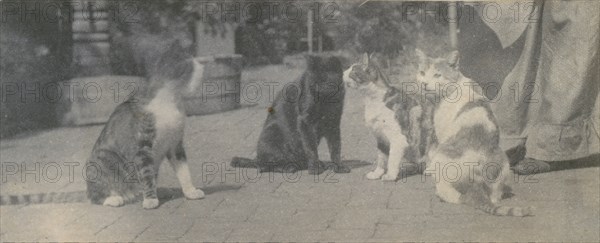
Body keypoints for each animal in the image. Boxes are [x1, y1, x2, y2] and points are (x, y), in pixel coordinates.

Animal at [1, 41, 205, 209]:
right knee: (95, 197)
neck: (171, 101)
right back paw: (116, 198)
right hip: (104, 160)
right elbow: (146, 174)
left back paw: (159, 191)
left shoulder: (175, 145)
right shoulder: (142, 147)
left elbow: (184, 171)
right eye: (191, 65)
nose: (203, 65)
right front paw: (150, 200)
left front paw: (190, 191)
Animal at [340, 52, 428, 180]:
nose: (342, 73)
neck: (372, 100)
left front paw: (390, 175)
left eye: (352, 70)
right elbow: (381, 158)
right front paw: (377, 173)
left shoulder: (398, 139)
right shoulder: (380, 137)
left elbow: (392, 159)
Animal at [414, 49, 532, 216]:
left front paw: (427, 169)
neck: (455, 85)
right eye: (422, 73)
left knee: (454, 196)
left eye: (437, 75)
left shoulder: (441, 133)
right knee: (494, 197)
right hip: (504, 163)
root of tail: (476, 175)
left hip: (443, 158)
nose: (424, 84)